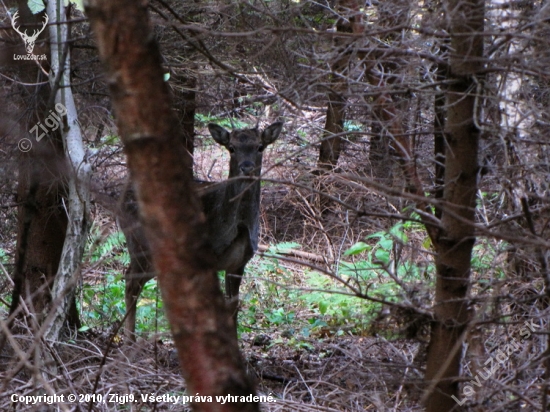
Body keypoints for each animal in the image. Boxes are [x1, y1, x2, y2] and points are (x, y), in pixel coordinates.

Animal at [121, 120, 284, 340]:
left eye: (260, 146)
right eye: (231, 148)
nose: (247, 167)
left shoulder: (239, 262)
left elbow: (233, 307)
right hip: (140, 243)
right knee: (131, 281)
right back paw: (129, 339)